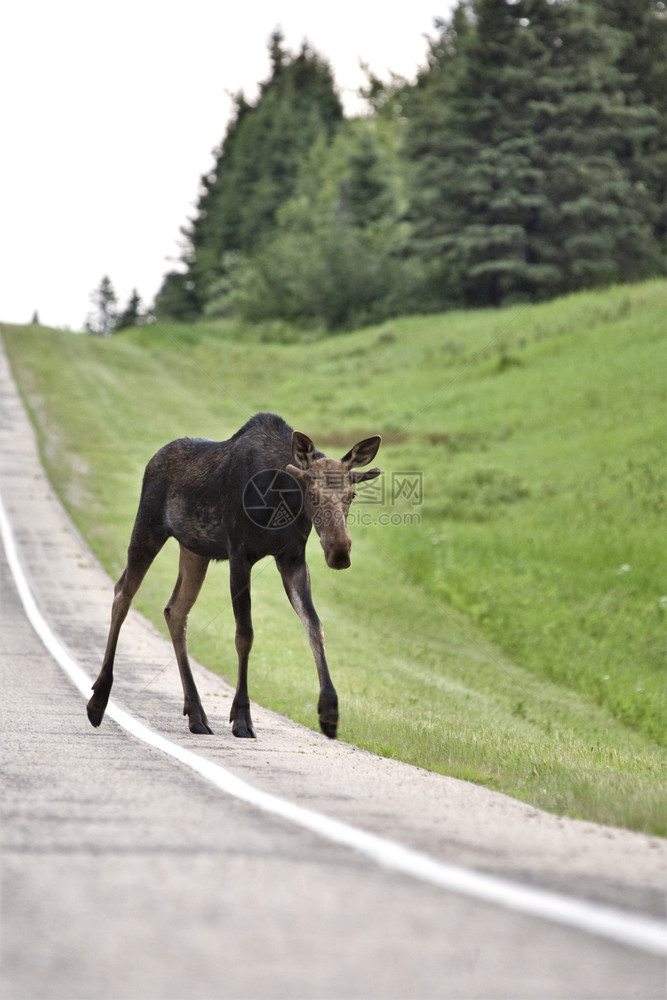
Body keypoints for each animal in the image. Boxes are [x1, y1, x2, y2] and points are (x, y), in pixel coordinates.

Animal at [87, 410, 380, 740]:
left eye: (351, 494)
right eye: (312, 493)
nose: (339, 552)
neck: (281, 500)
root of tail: (153, 459)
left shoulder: (291, 558)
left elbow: (314, 626)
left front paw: (329, 711)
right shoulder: (240, 555)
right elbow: (245, 634)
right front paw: (241, 717)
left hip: (194, 550)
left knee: (175, 610)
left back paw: (196, 713)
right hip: (148, 528)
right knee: (123, 593)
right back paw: (98, 701)